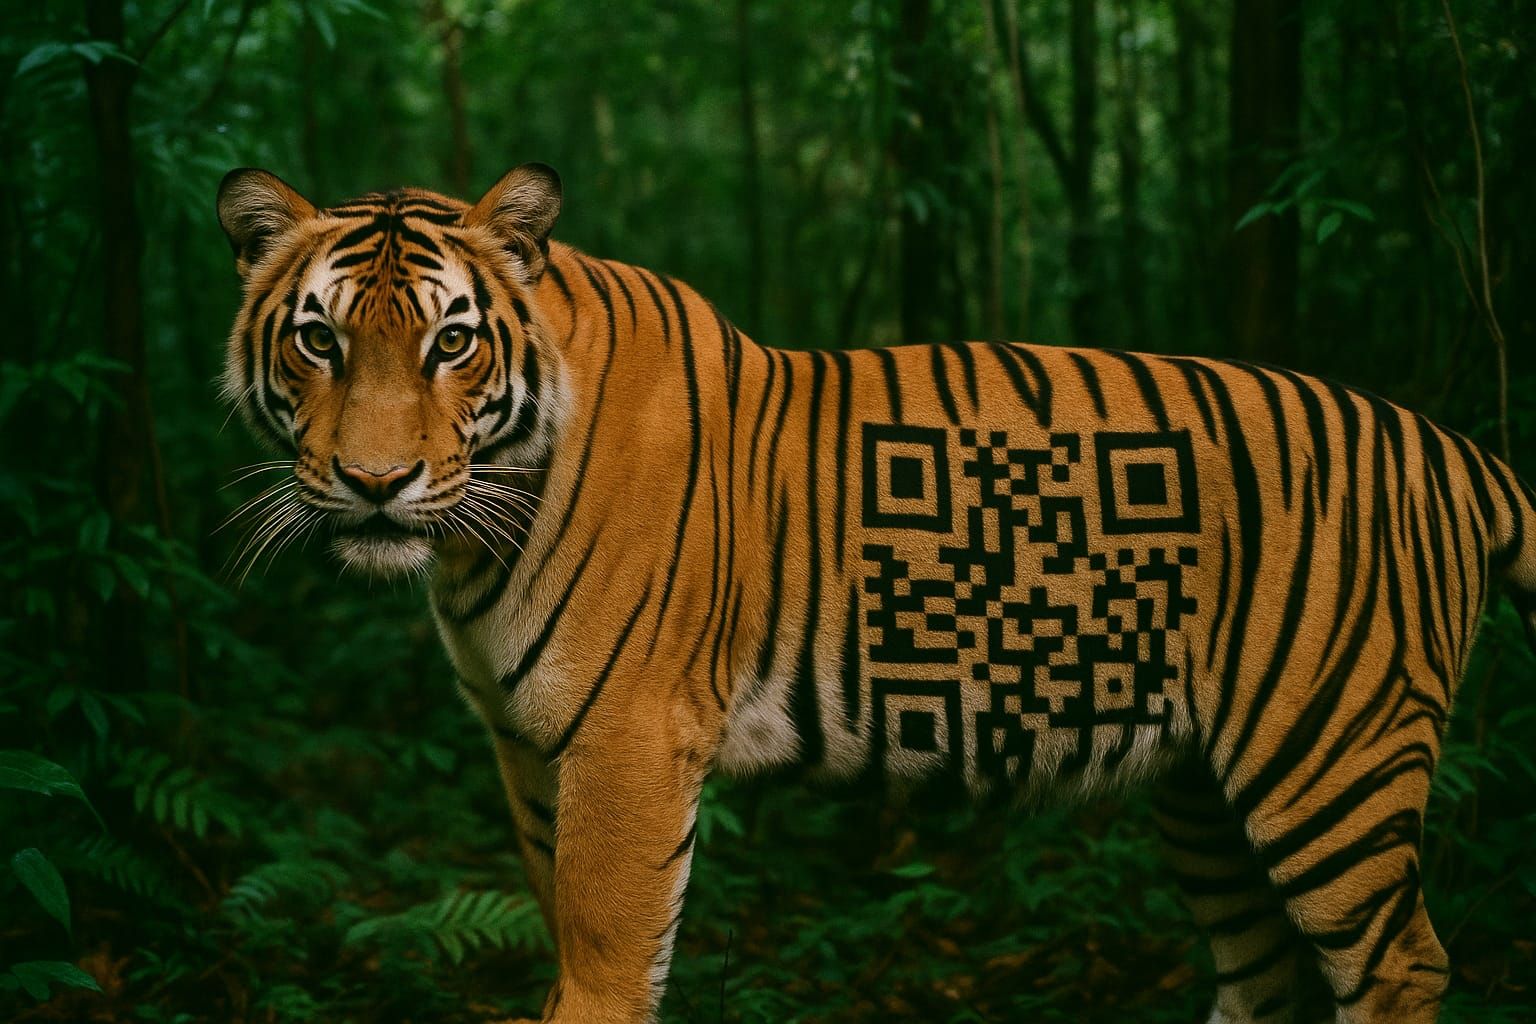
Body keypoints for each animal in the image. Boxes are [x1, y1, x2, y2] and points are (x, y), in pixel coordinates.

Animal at [215, 162, 1536, 1024]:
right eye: (320, 340)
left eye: (453, 341)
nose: (375, 483)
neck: (476, 536)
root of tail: (1450, 447)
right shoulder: (529, 749)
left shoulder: (626, 746)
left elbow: (602, 967)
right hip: (1207, 792)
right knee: (1264, 978)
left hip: (1329, 758)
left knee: (1403, 964)